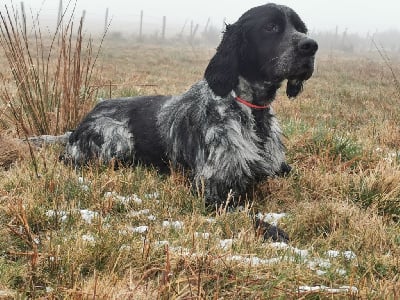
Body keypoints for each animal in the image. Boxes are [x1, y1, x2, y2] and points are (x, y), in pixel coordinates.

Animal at [61, 2, 318, 241]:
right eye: (270, 27)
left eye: (301, 28)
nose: (311, 46)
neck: (252, 112)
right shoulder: (211, 188)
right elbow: (246, 214)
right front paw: (274, 230)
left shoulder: (279, 168)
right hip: (117, 137)